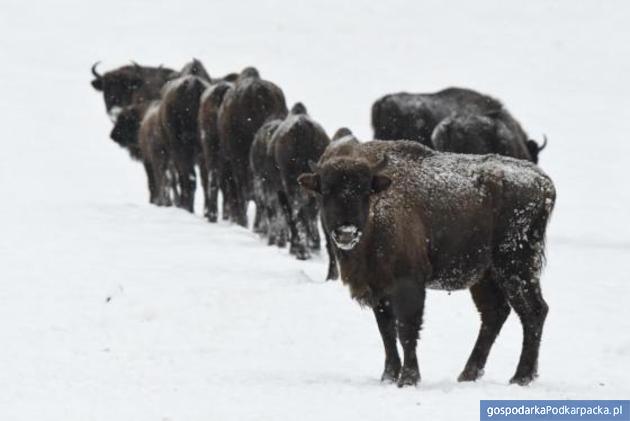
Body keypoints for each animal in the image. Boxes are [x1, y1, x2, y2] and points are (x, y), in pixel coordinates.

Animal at [302, 140, 556, 388]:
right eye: (326, 191)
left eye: (364, 191)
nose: (346, 232)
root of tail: (544, 183)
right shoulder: (379, 289)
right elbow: (386, 331)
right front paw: (388, 376)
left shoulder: (408, 284)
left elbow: (406, 329)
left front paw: (408, 378)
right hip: (486, 276)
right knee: (495, 313)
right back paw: (468, 374)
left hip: (515, 267)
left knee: (533, 311)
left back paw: (520, 377)